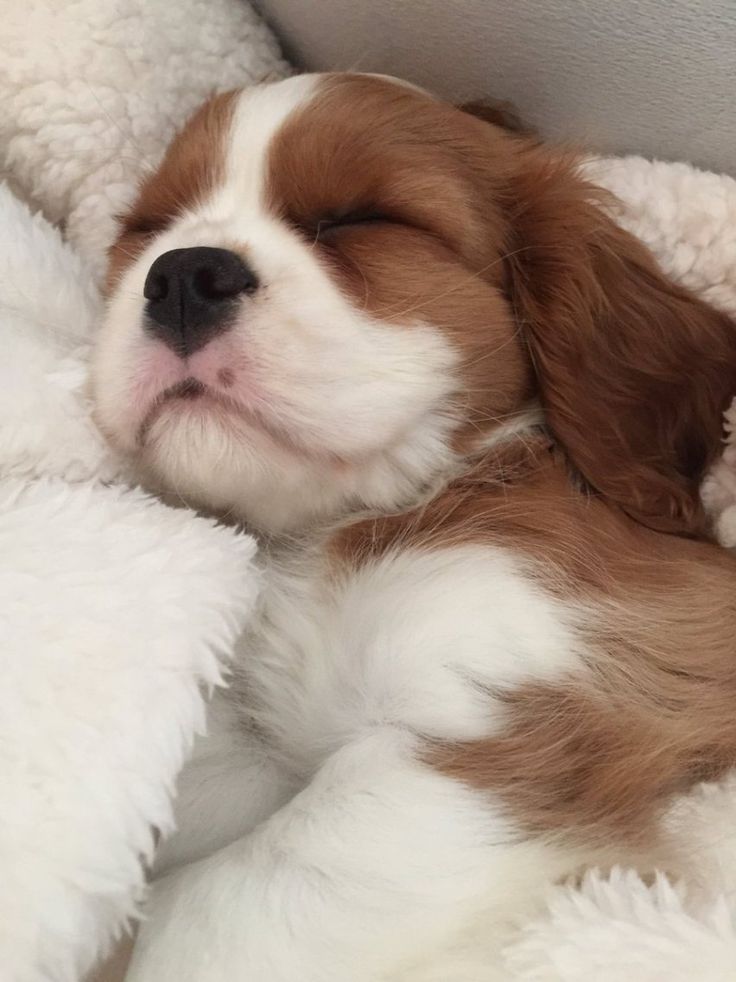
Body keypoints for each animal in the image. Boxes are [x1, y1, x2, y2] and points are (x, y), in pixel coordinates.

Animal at [93, 73, 736, 980]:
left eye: (359, 219)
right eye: (147, 228)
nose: (182, 274)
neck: (333, 530)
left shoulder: (512, 730)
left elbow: (209, 916)